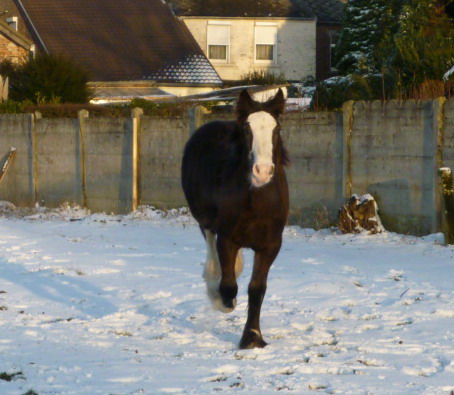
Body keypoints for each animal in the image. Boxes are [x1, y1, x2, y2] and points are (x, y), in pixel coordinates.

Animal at [180, 89, 288, 350]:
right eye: (247, 129)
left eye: (276, 128)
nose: (262, 171)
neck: (257, 200)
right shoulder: (227, 239)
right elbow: (229, 285)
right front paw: (224, 301)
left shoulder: (271, 245)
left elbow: (257, 289)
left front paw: (253, 337)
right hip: (205, 220)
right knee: (211, 248)